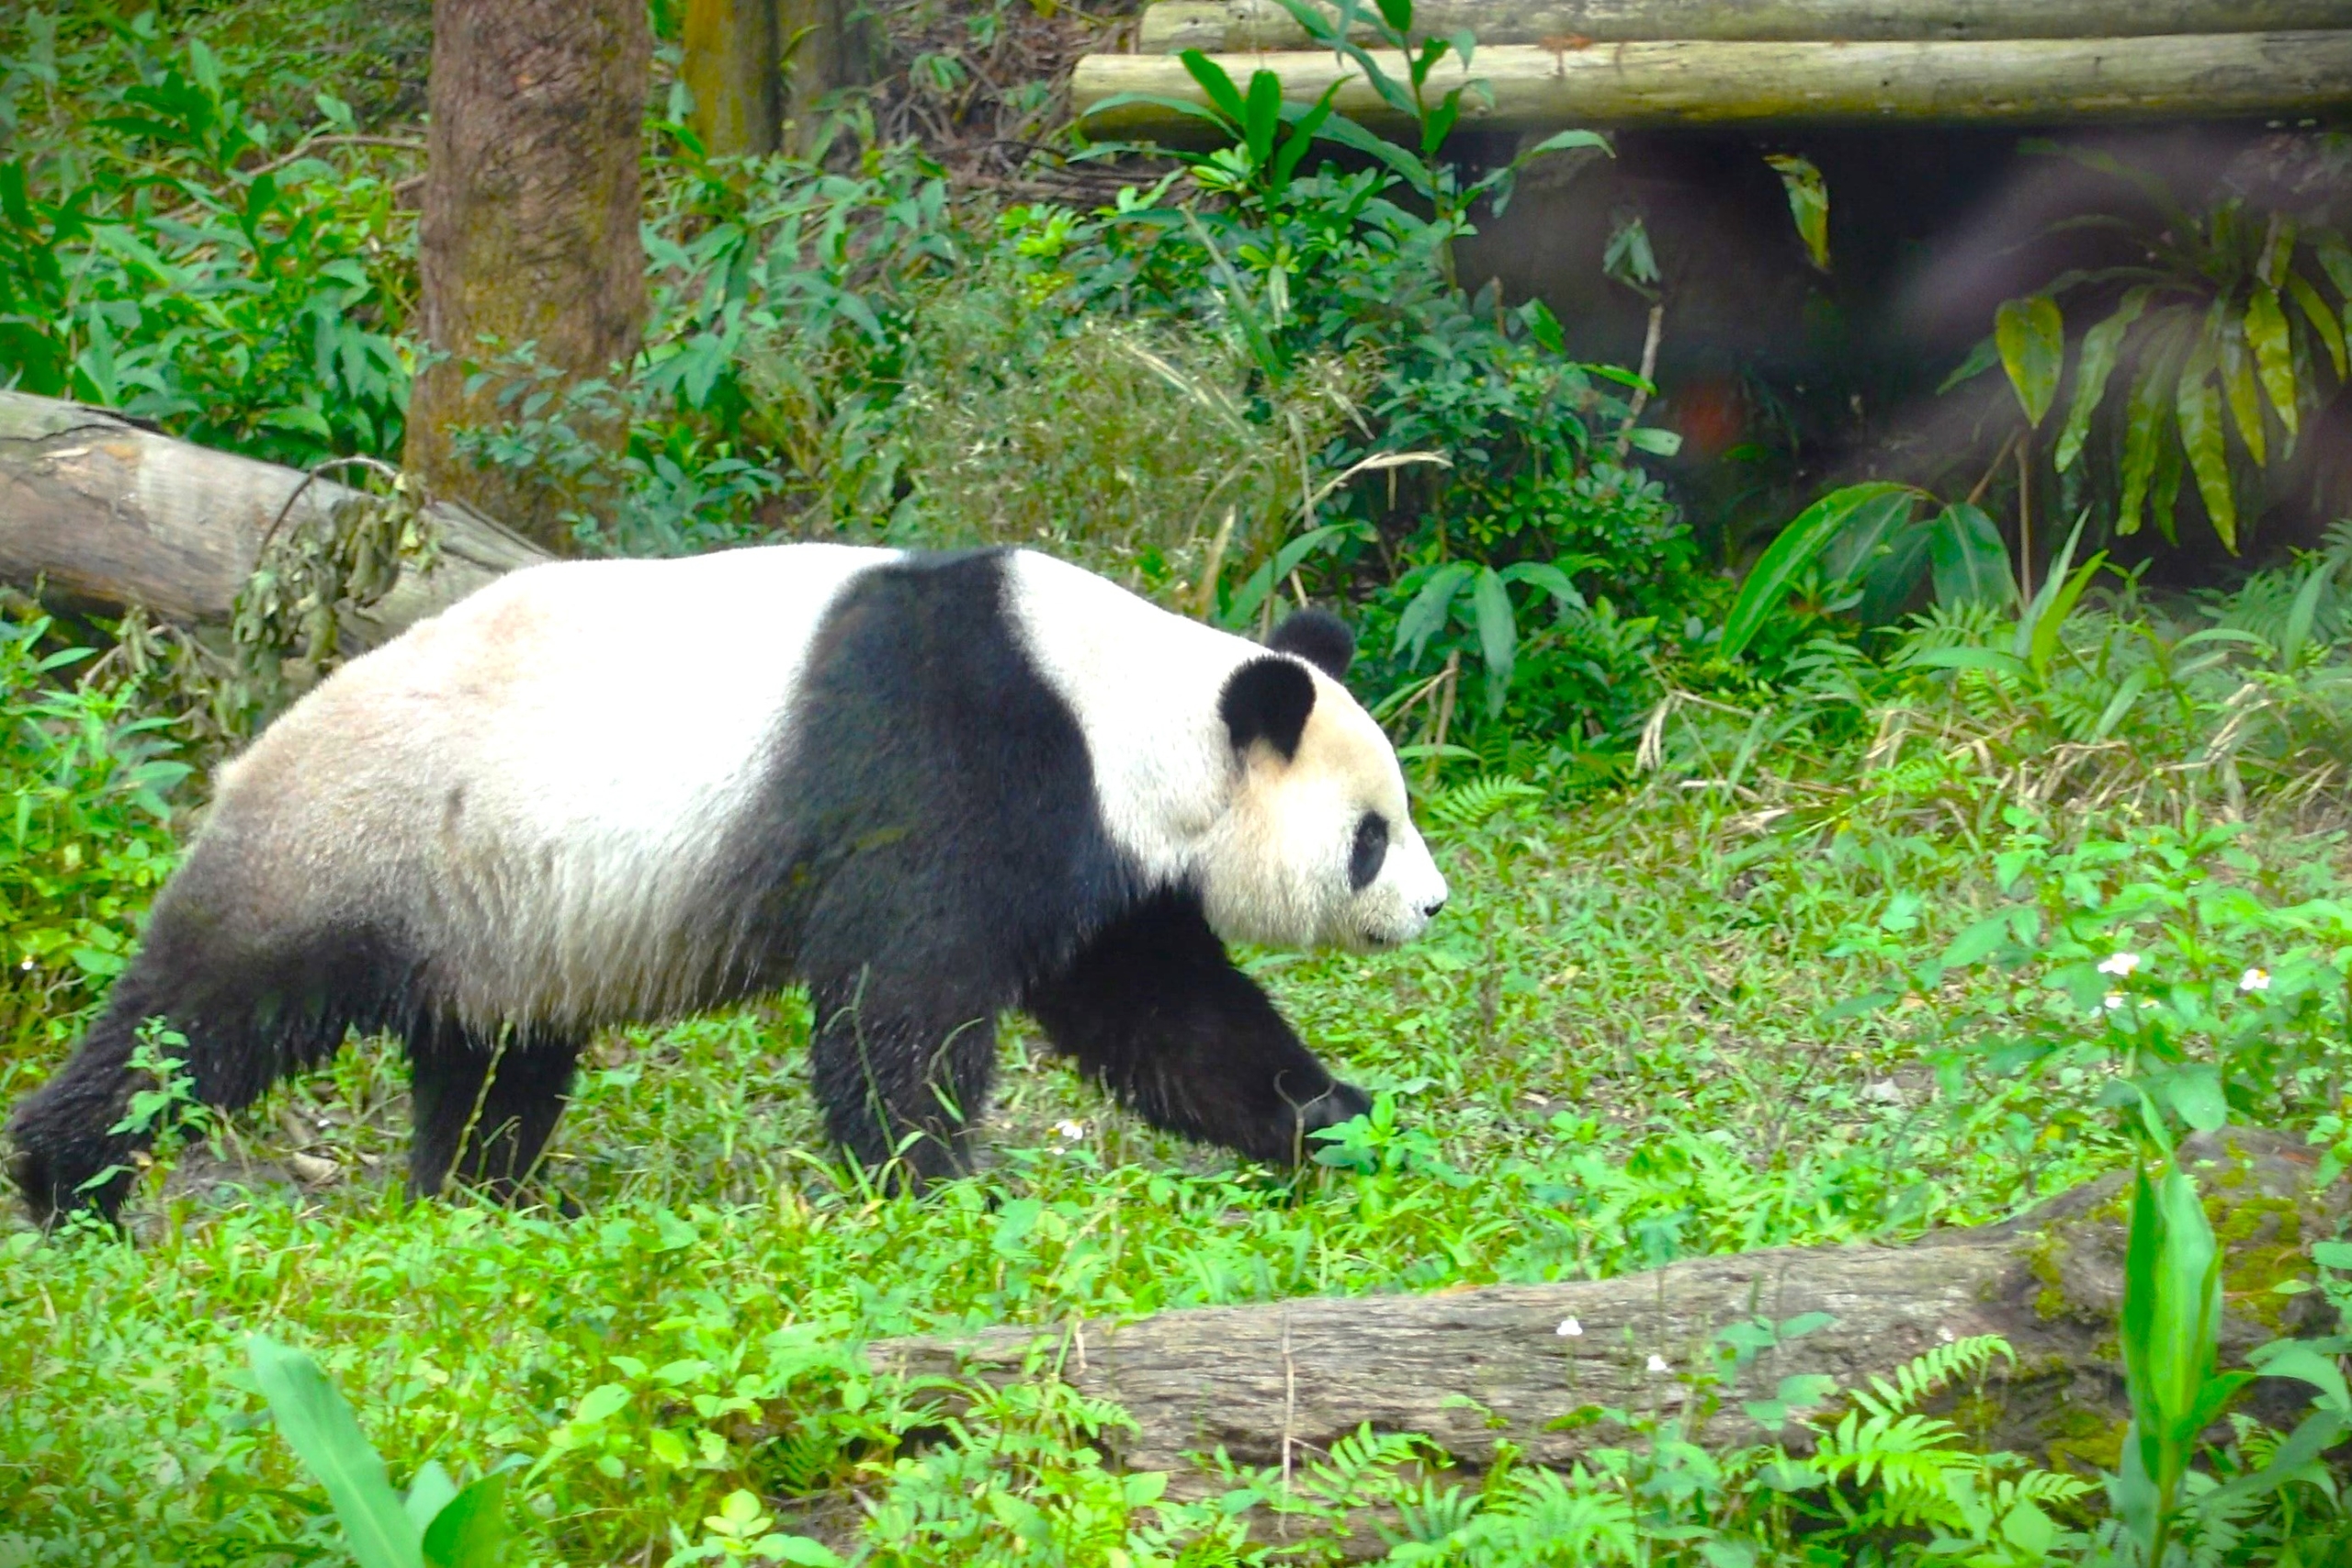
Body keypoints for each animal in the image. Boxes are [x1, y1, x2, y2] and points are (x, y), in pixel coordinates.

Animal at [9, 545, 1448, 1222]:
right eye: (1374, 834)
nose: (1433, 906)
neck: (1121, 703)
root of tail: (244, 757)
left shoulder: (1104, 853)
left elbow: (1171, 1018)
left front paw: (1345, 1123)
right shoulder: (957, 763)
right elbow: (901, 1003)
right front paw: (940, 1186)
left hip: (496, 914)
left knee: (491, 1064)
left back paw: (480, 1197)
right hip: (362, 840)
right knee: (203, 1018)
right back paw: (67, 1183)